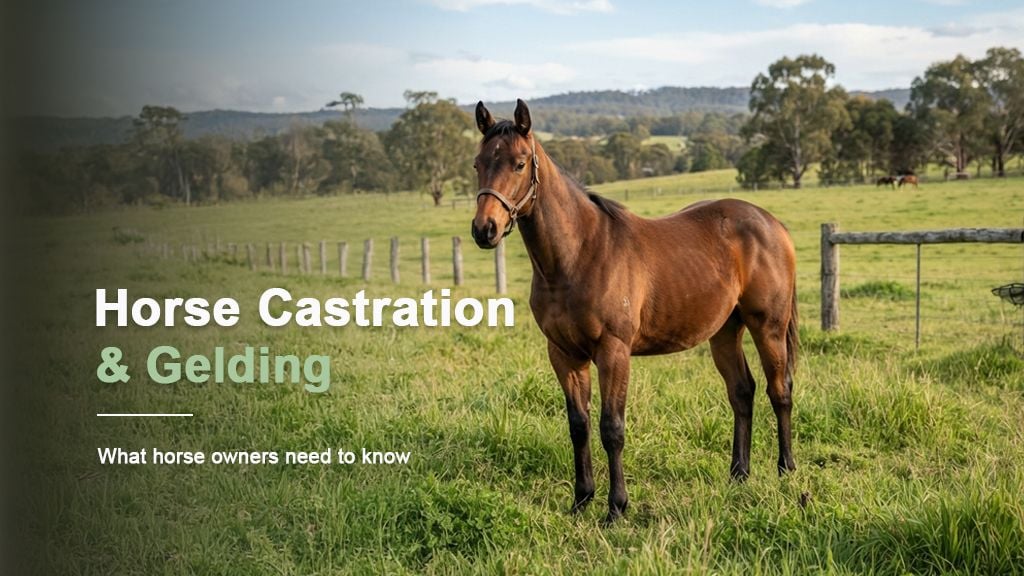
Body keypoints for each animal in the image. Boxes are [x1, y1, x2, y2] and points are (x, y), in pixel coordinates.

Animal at [470, 100, 799, 523]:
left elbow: (612, 428)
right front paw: (581, 500)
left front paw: (616, 508)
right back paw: (738, 475)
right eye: (478, 163)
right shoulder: (564, 355)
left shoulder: (613, 352)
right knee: (742, 392)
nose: (485, 230)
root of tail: (772, 224)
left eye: (520, 163)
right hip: (726, 331)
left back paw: (786, 469)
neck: (579, 254)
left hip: (768, 327)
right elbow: (579, 426)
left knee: (780, 391)